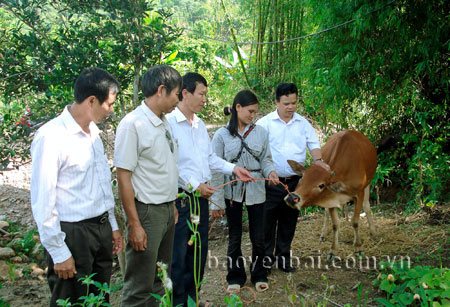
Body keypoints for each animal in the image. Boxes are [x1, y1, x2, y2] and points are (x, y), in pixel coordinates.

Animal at [284, 130, 376, 260]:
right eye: (302, 177)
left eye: (321, 185)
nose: (292, 198)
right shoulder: (330, 198)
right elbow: (335, 225)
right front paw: (333, 251)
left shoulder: (359, 193)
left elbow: (355, 221)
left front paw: (358, 247)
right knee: (327, 213)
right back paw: (323, 234)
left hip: (369, 182)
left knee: (367, 206)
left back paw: (373, 232)